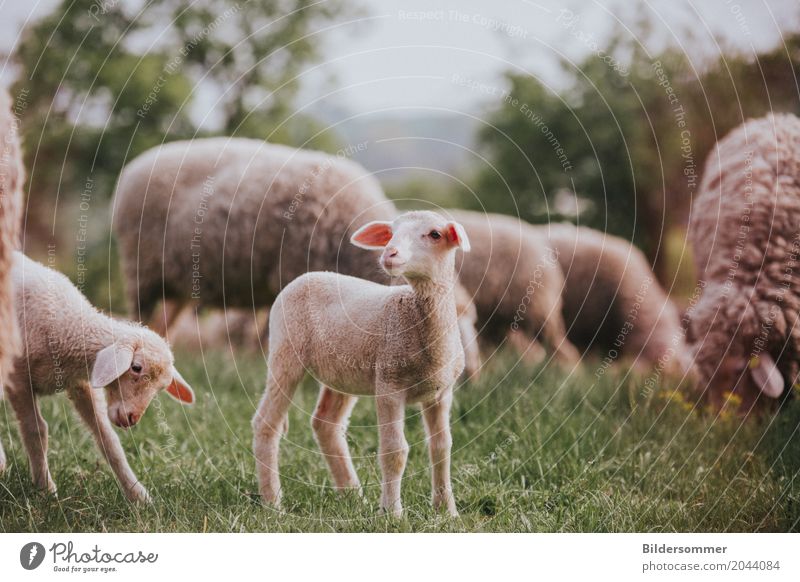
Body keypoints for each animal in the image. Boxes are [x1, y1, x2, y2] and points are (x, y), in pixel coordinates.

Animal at [1, 253, 195, 504]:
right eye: (136, 367)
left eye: (161, 388)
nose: (132, 418)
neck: (67, 325)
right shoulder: (18, 379)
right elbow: (36, 431)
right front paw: (45, 490)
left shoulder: (80, 384)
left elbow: (109, 441)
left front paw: (139, 496)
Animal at [253, 209, 472, 516]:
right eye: (392, 232)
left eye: (435, 234)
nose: (389, 253)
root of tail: (308, 275)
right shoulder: (389, 385)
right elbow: (395, 451)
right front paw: (392, 513)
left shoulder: (441, 393)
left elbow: (441, 448)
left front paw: (447, 512)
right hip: (285, 351)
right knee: (266, 422)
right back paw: (273, 502)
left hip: (341, 372)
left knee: (326, 425)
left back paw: (353, 495)